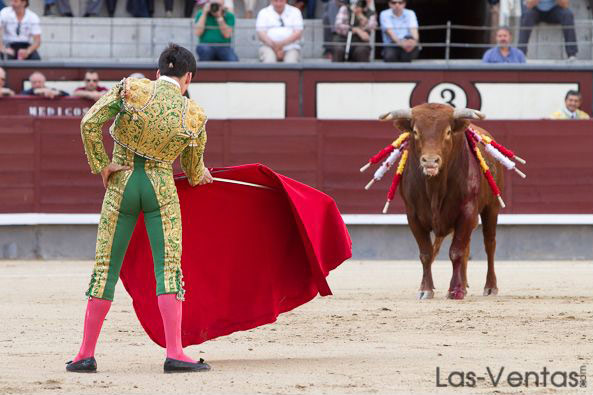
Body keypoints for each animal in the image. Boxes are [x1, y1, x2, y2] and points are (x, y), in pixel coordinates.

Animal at [380, 103, 504, 302]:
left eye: (448, 132)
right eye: (415, 131)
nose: (430, 161)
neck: (434, 188)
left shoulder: (467, 212)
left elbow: (456, 252)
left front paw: (455, 291)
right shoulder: (413, 216)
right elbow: (426, 253)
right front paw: (426, 290)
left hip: (491, 208)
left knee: (489, 244)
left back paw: (490, 287)